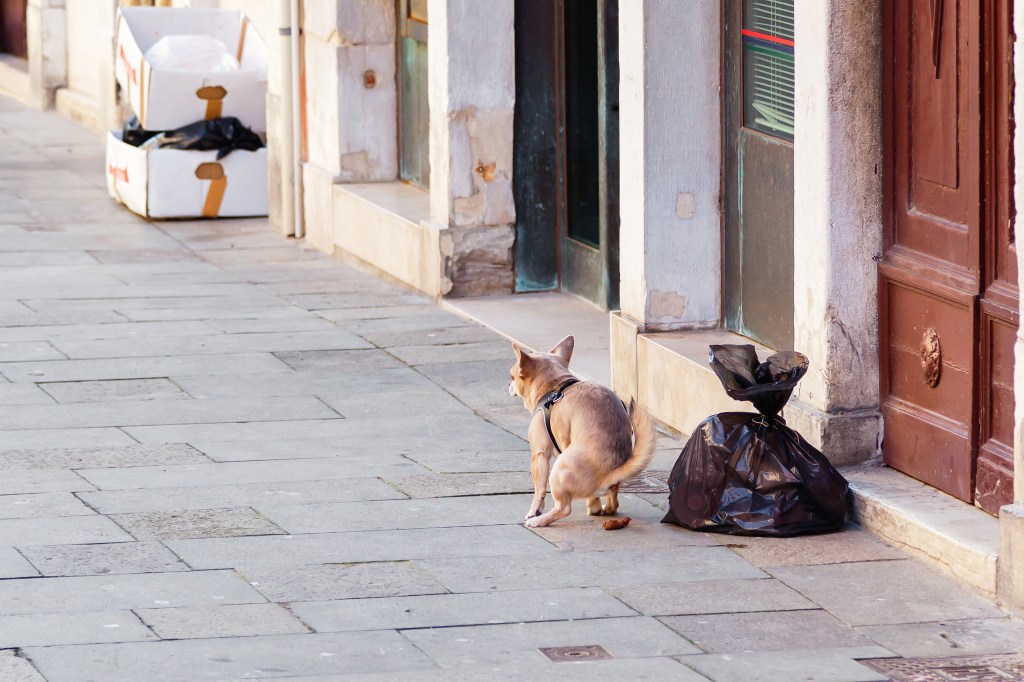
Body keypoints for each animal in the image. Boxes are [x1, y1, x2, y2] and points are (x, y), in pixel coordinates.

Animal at [509, 333, 655, 524]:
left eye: (512, 377)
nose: (508, 386)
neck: (555, 386)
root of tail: (611, 473)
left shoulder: (539, 455)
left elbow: (538, 490)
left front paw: (534, 512)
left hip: (557, 470)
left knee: (564, 508)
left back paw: (540, 521)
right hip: (605, 488)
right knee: (612, 504)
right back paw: (598, 508)